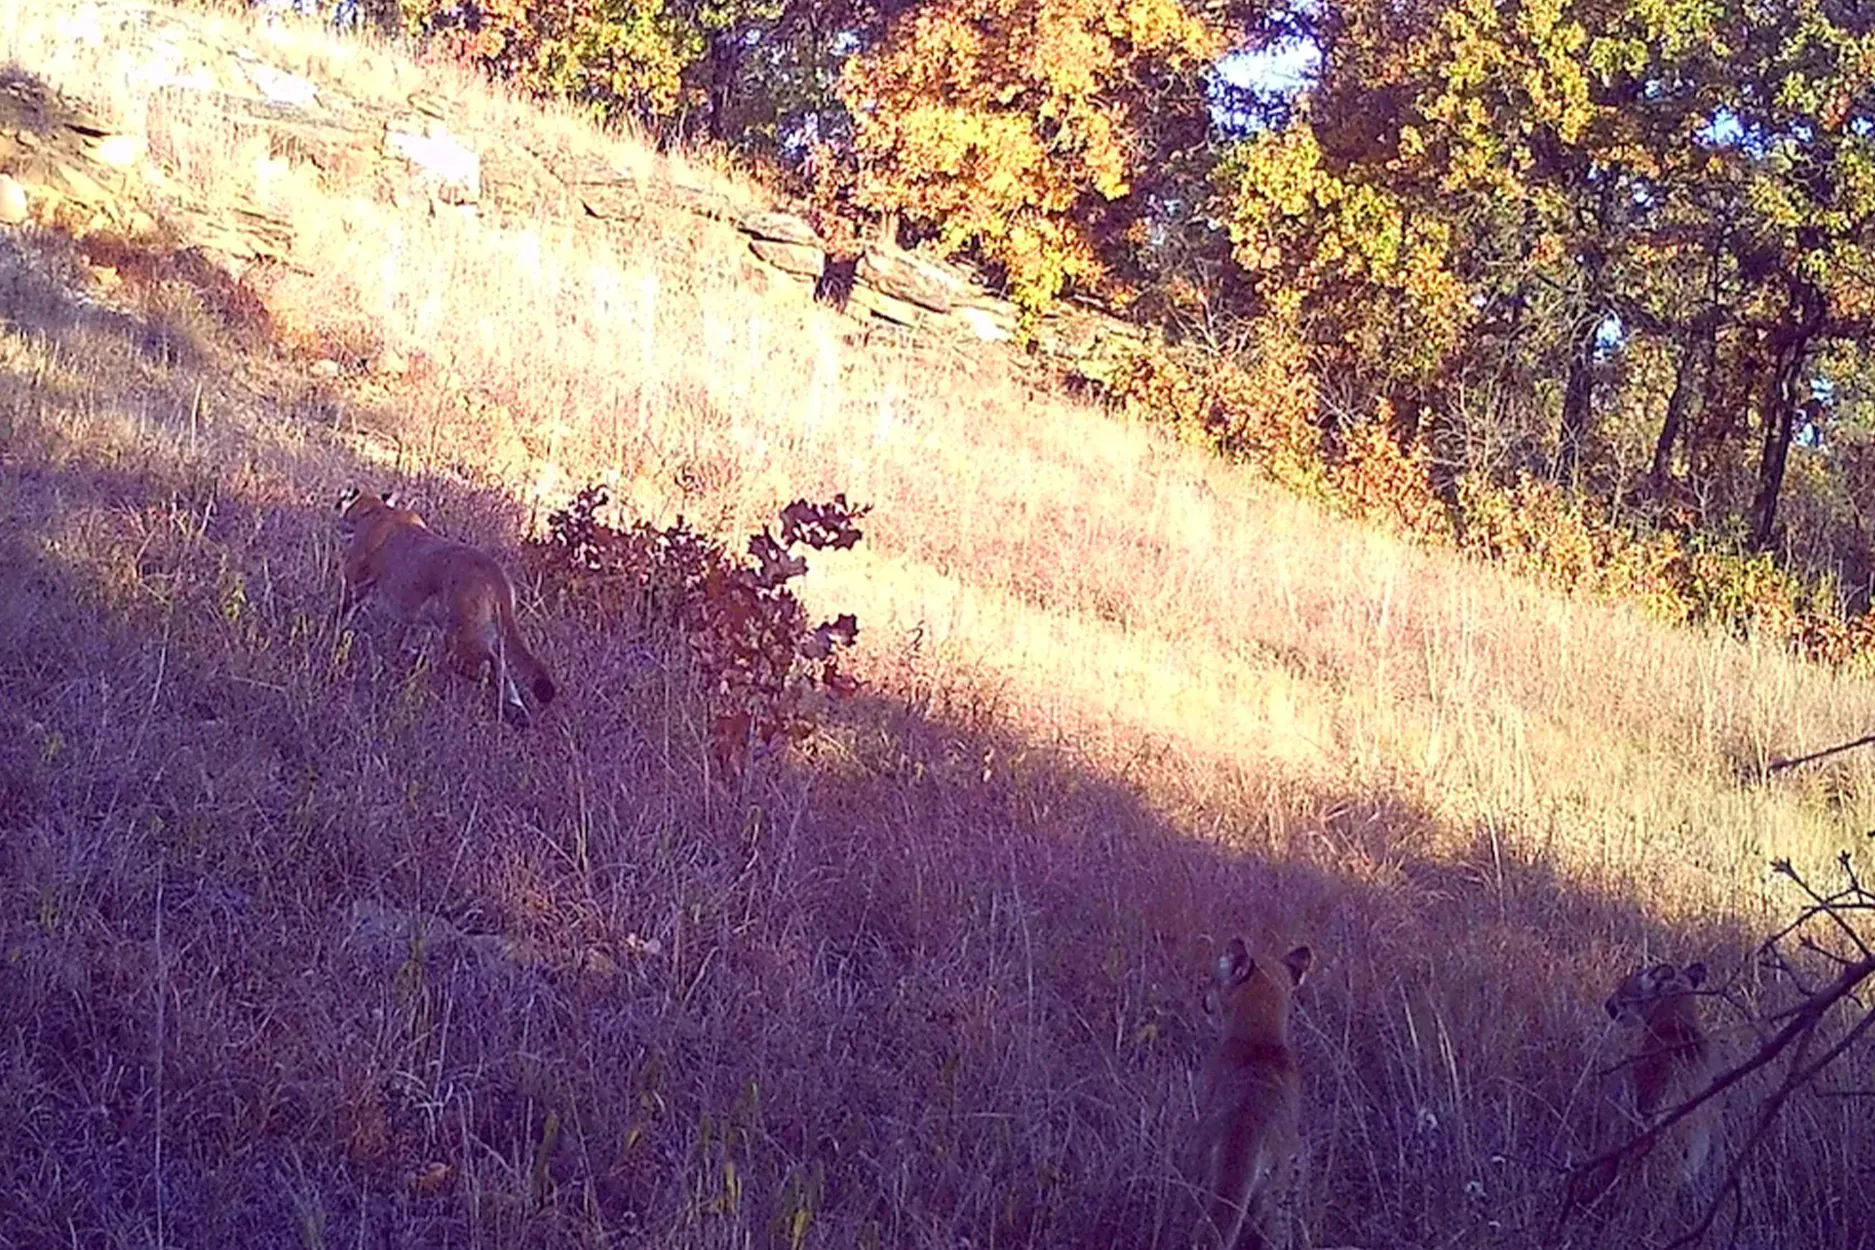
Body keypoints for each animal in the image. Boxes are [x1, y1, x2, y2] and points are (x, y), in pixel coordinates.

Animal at [336, 488, 556, 726]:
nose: (339, 522)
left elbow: (344, 610)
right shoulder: (414, 611)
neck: (378, 510)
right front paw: (405, 652)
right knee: (501, 665)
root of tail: (493, 569)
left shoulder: (356, 581)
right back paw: (517, 713)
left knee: (492, 664)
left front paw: (336, 634)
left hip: (459, 639)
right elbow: (407, 632)